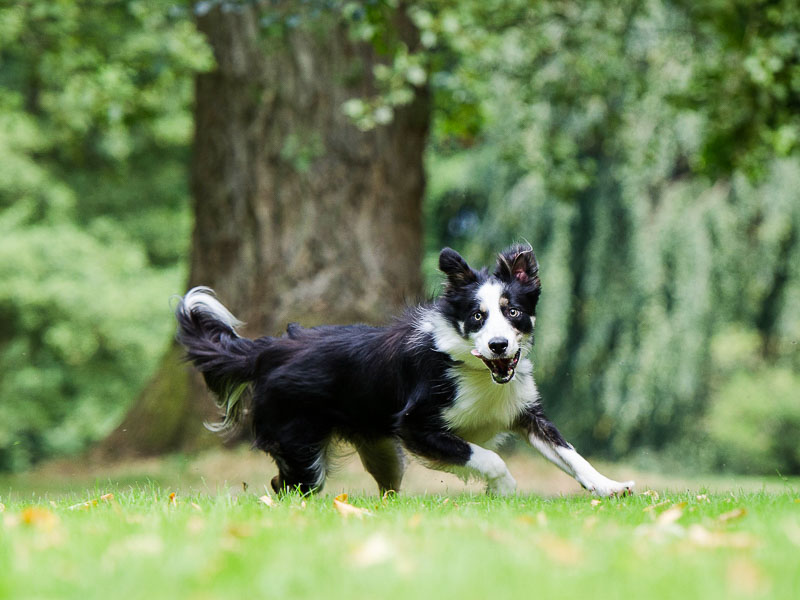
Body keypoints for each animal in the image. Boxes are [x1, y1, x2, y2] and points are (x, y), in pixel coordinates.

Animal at [173, 244, 632, 496]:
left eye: (513, 312)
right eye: (477, 317)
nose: (499, 345)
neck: (475, 369)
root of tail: (268, 350)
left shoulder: (523, 411)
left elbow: (572, 455)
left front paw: (610, 486)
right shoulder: (415, 425)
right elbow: (486, 456)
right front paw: (504, 488)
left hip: (382, 452)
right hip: (301, 447)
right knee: (284, 486)